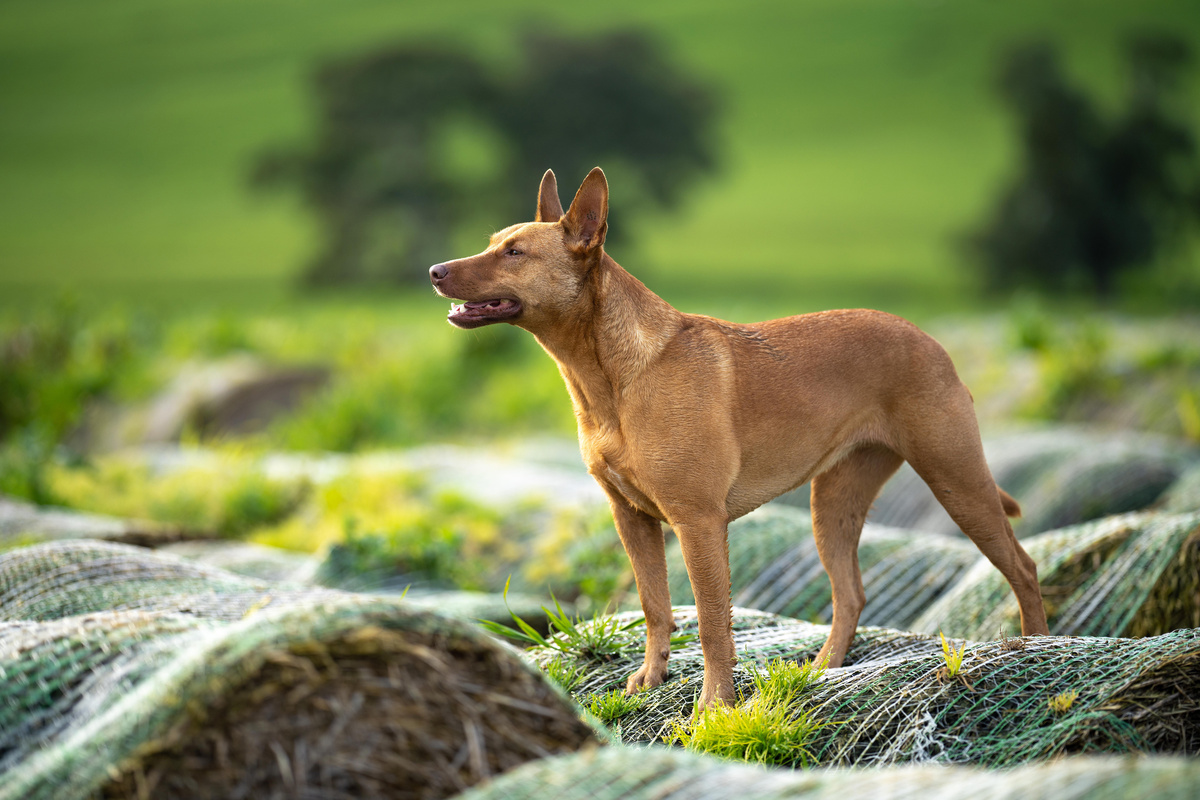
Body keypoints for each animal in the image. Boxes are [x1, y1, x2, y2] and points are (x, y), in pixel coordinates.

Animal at [432, 167, 1051, 705]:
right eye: (494, 243)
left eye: (515, 253)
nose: (436, 271)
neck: (611, 373)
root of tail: (929, 340)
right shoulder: (632, 519)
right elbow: (655, 607)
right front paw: (651, 679)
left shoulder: (698, 523)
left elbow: (711, 623)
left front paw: (714, 705)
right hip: (833, 504)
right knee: (850, 594)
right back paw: (822, 672)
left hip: (957, 481)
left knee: (1022, 567)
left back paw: (1040, 650)